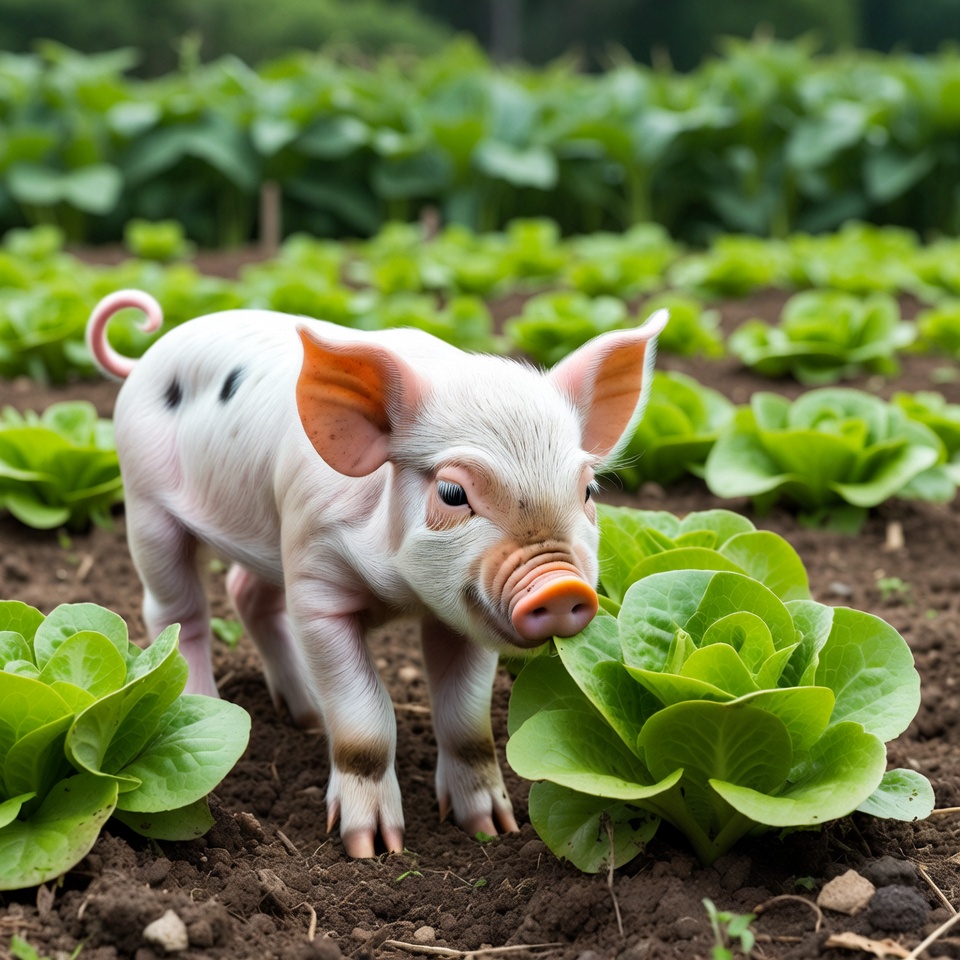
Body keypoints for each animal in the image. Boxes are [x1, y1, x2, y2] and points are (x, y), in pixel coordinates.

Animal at [86, 289, 666, 858]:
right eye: (452, 493)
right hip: (145, 501)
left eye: (588, 490)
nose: (561, 584)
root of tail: (149, 355)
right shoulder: (317, 581)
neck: (401, 594)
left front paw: (493, 828)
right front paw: (371, 847)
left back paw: (307, 715)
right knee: (178, 611)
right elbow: (364, 725)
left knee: (247, 593)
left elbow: (468, 725)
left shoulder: (466, 618)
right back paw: (210, 704)